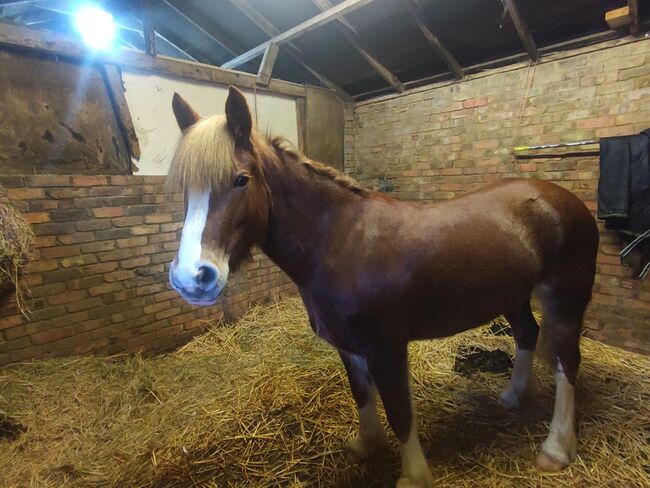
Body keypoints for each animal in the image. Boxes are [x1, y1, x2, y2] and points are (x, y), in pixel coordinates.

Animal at [167, 87, 596, 488]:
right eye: (186, 189)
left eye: (241, 179)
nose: (191, 277)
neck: (340, 240)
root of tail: (562, 198)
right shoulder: (347, 345)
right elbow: (362, 395)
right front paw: (366, 445)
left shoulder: (386, 348)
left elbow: (399, 410)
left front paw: (414, 476)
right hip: (512, 295)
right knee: (527, 334)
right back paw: (513, 396)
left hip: (566, 298)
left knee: (566, 361)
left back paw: (556, 449)